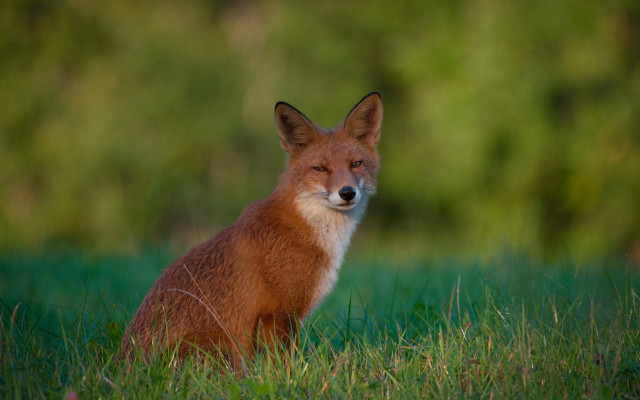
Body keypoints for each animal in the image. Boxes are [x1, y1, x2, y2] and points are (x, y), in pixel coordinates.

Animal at [120, 92, 383, 370]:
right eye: (320, 168)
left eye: (356, 164)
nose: (347, 193)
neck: (311, 228)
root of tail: (125, 364)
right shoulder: (277, 313)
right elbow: (280, 364)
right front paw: (283, 377)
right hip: (225, 347)